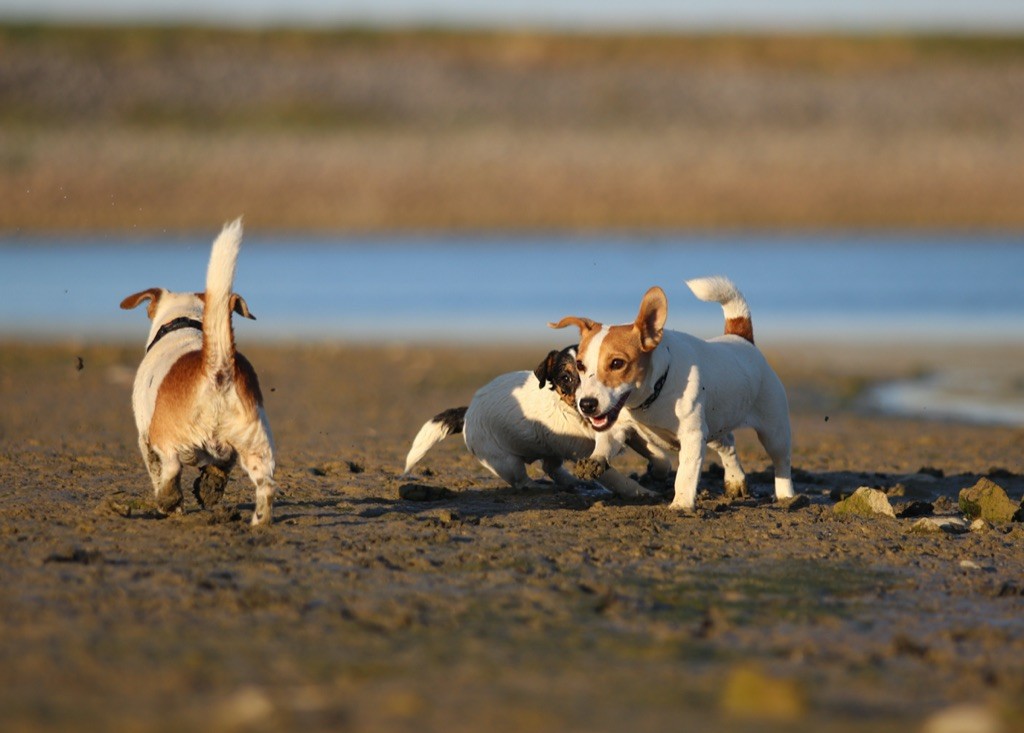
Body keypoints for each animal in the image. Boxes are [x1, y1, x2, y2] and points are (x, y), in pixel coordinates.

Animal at [119, 219, 276, 528]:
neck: (184, 323)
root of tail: (216, 368)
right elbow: (220, 467)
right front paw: (209, 486)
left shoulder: (145, 438)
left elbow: (156, 471)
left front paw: (173, 504)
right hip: (255, 443)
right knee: (265, 485)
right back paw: (256, 521)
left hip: (166, 437)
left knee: (170, 470)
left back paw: (168, 501)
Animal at [403, 346, 675, 497]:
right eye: (566, 378)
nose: (588, 403)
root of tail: (468, 411)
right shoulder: (584, 453)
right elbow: (617, 479)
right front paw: (642, 492)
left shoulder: (629, 431)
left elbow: (656, 453)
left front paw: (660, 470)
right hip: (505, 461)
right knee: (521, 480)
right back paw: (538, 486)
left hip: (549, 448)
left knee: (550, 467)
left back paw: (572, 482)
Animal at [557, 274, 794, 509]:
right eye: (580, 365)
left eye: (617, 363)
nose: (586, 405)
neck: (654, 394)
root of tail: (741, 339)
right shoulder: (618, 427)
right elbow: (605, 444)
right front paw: (594, 461)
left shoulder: (693, 437)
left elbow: (685, 474)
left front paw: (681, 504)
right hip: (714, 426)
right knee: (728, 445)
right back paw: (736, 480)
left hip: (773, 432)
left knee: (781, 462)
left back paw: (787, 496)